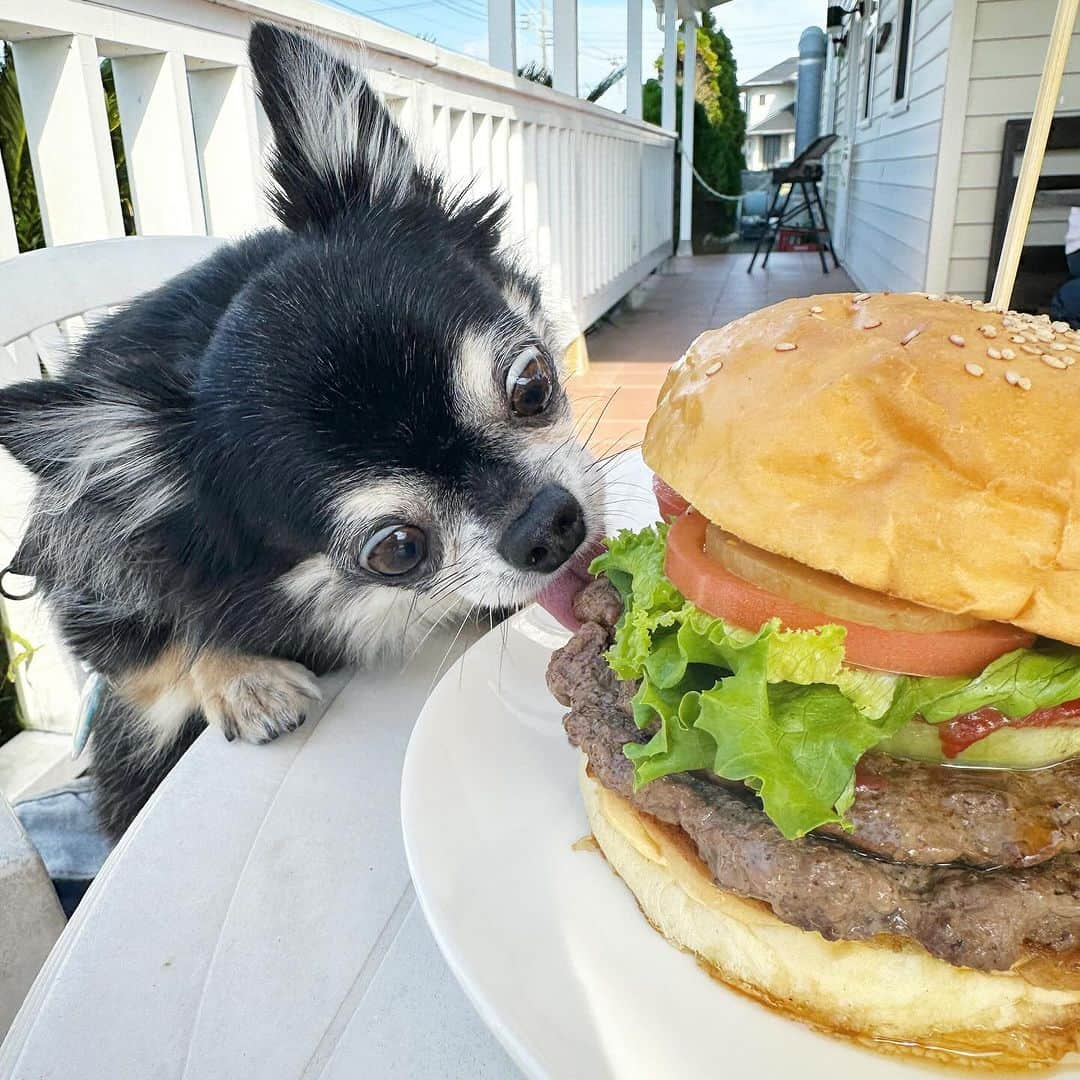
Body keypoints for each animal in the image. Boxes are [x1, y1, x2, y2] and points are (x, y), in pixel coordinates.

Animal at [0, 23, 609, 833]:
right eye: (396, 550)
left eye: (533, 385)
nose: (548, 525)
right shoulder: (91, 582)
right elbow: (149, 656)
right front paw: (237, 671)